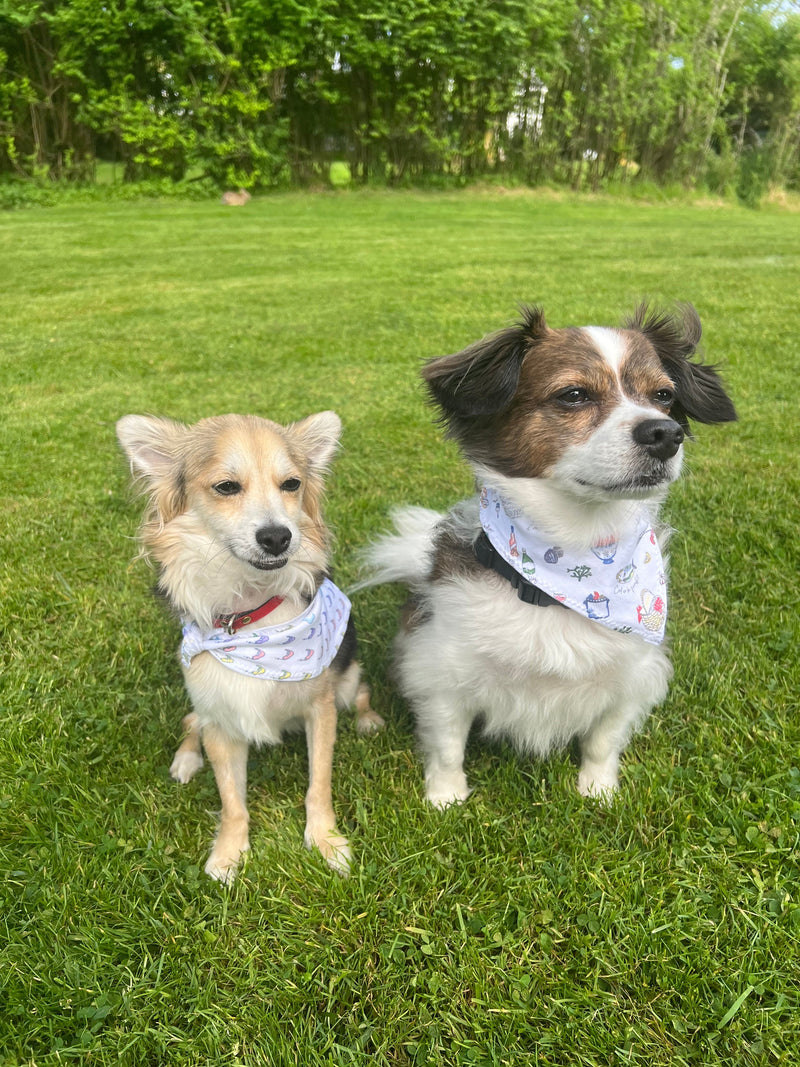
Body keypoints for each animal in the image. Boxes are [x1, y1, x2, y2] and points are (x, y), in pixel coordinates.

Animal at [117, 409, 384, 883]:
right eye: (226, 487)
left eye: (292, 484)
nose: (278, 536)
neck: (249, 614)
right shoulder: (220, 717)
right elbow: (231, 802)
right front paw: (228, 853)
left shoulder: (321, 708)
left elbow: (319, 783)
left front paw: (326, 841)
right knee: (191, 720)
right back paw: (186, 758)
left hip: (348, 679)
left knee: (361, 692)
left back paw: (369, 721)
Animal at [366, 307, 738, 806]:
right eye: (573, 395)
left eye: (663, 395)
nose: (666, 433)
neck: (572, 561)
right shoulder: (443, 673)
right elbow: (447, 745)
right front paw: (446, 799)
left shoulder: (632, 675)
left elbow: (604, 739)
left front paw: (598, 791)